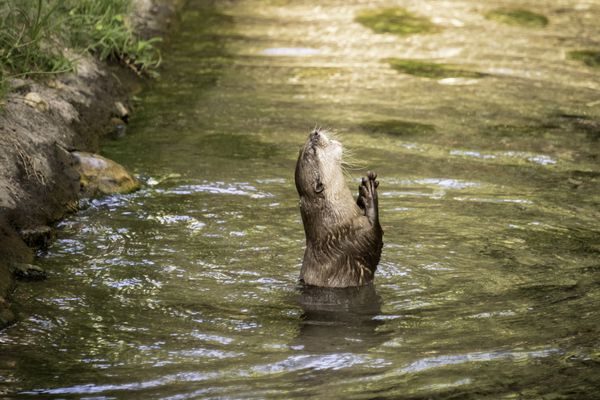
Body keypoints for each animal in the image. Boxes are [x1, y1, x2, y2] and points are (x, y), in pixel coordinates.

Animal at [296, 129, 384, 288]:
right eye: (313, 150)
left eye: (303, 147)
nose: (314, 133)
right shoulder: (359, 238)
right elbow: (376, 239)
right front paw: (369, 193)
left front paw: (363, 196)